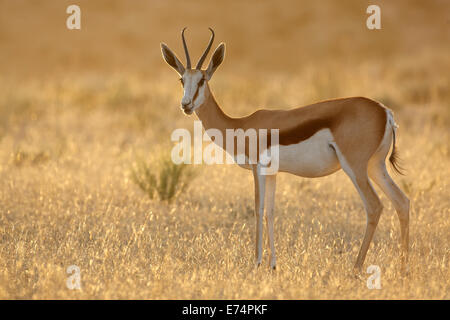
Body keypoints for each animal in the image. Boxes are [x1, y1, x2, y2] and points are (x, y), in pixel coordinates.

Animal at [160, 28, 410, 272]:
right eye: (182, 79)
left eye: (202, 80)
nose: (186, 105)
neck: (239, 126)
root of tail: (384, 111)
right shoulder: (273, 173)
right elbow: (271, 212)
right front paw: (272, 265)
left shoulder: (258, 168)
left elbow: (259, 209)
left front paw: (256, 263)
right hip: (375, 166)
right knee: (402, 201)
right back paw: (403, 269)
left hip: (355, 168)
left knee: (374, 206)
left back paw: (357, 268)